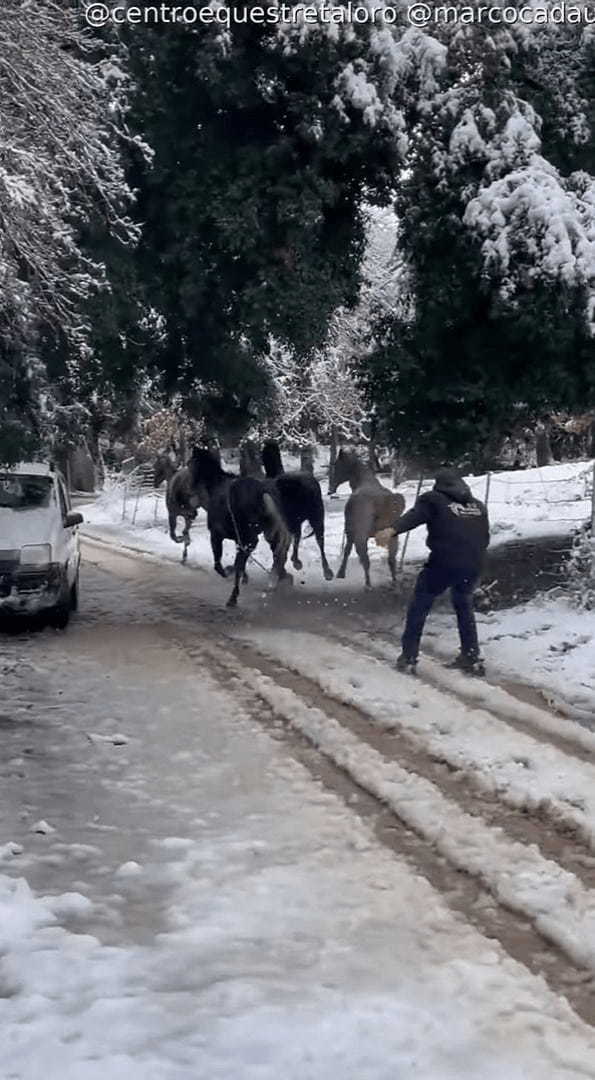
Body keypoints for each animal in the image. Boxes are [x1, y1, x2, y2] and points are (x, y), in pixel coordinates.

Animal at [191, 447, 293, 609]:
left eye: (190, 464)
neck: (216, 486)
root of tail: (263, 493)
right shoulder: (238, 539)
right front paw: (243, 576)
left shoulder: (216, 534)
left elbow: (218, 563)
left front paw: (227, 572)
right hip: (269, 533)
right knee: (278, 555)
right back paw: (278, 579)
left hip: (251, 536)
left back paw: (233, 598)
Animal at [328, 449, 408, 591]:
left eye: (337, 466)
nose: (330, 489)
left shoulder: (350, 531)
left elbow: (347, 550)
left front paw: (341, 573)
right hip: (393, 535)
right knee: (391, 559)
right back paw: (394, 582)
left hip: (361, 535)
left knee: (365, 559)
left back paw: (368, 584)